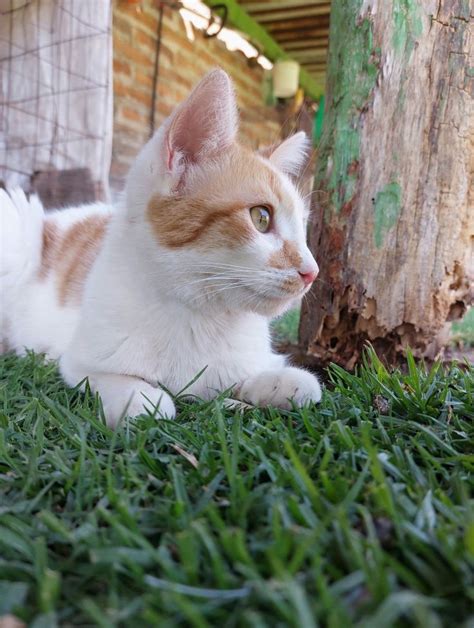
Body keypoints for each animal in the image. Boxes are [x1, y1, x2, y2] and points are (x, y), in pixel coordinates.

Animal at [0, 68, 322, 426]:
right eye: (261, 218)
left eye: (303, 228)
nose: (312, 272)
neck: (203, 315)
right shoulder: (81, 360)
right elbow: (132, 396)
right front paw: (143, 397)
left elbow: (291, 383)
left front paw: (275, 381)